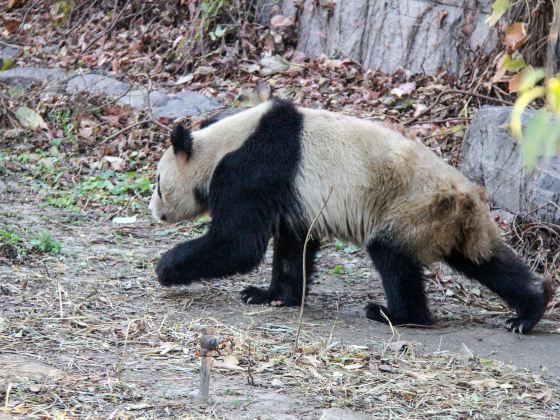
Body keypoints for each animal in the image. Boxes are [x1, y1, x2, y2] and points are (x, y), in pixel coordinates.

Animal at [149, 98, 552, 334]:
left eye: (157, 183)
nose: (154, 211)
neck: (220, 144)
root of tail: (468, 198)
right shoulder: (290, 193)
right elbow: (293, 243)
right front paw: (271, 295)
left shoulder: (252, 169)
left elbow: (238, 243)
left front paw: (165, 267)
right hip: (449, 223)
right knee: (486, 262)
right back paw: (530, 309)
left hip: (411, 208)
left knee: (393, 258)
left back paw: (396, 314)